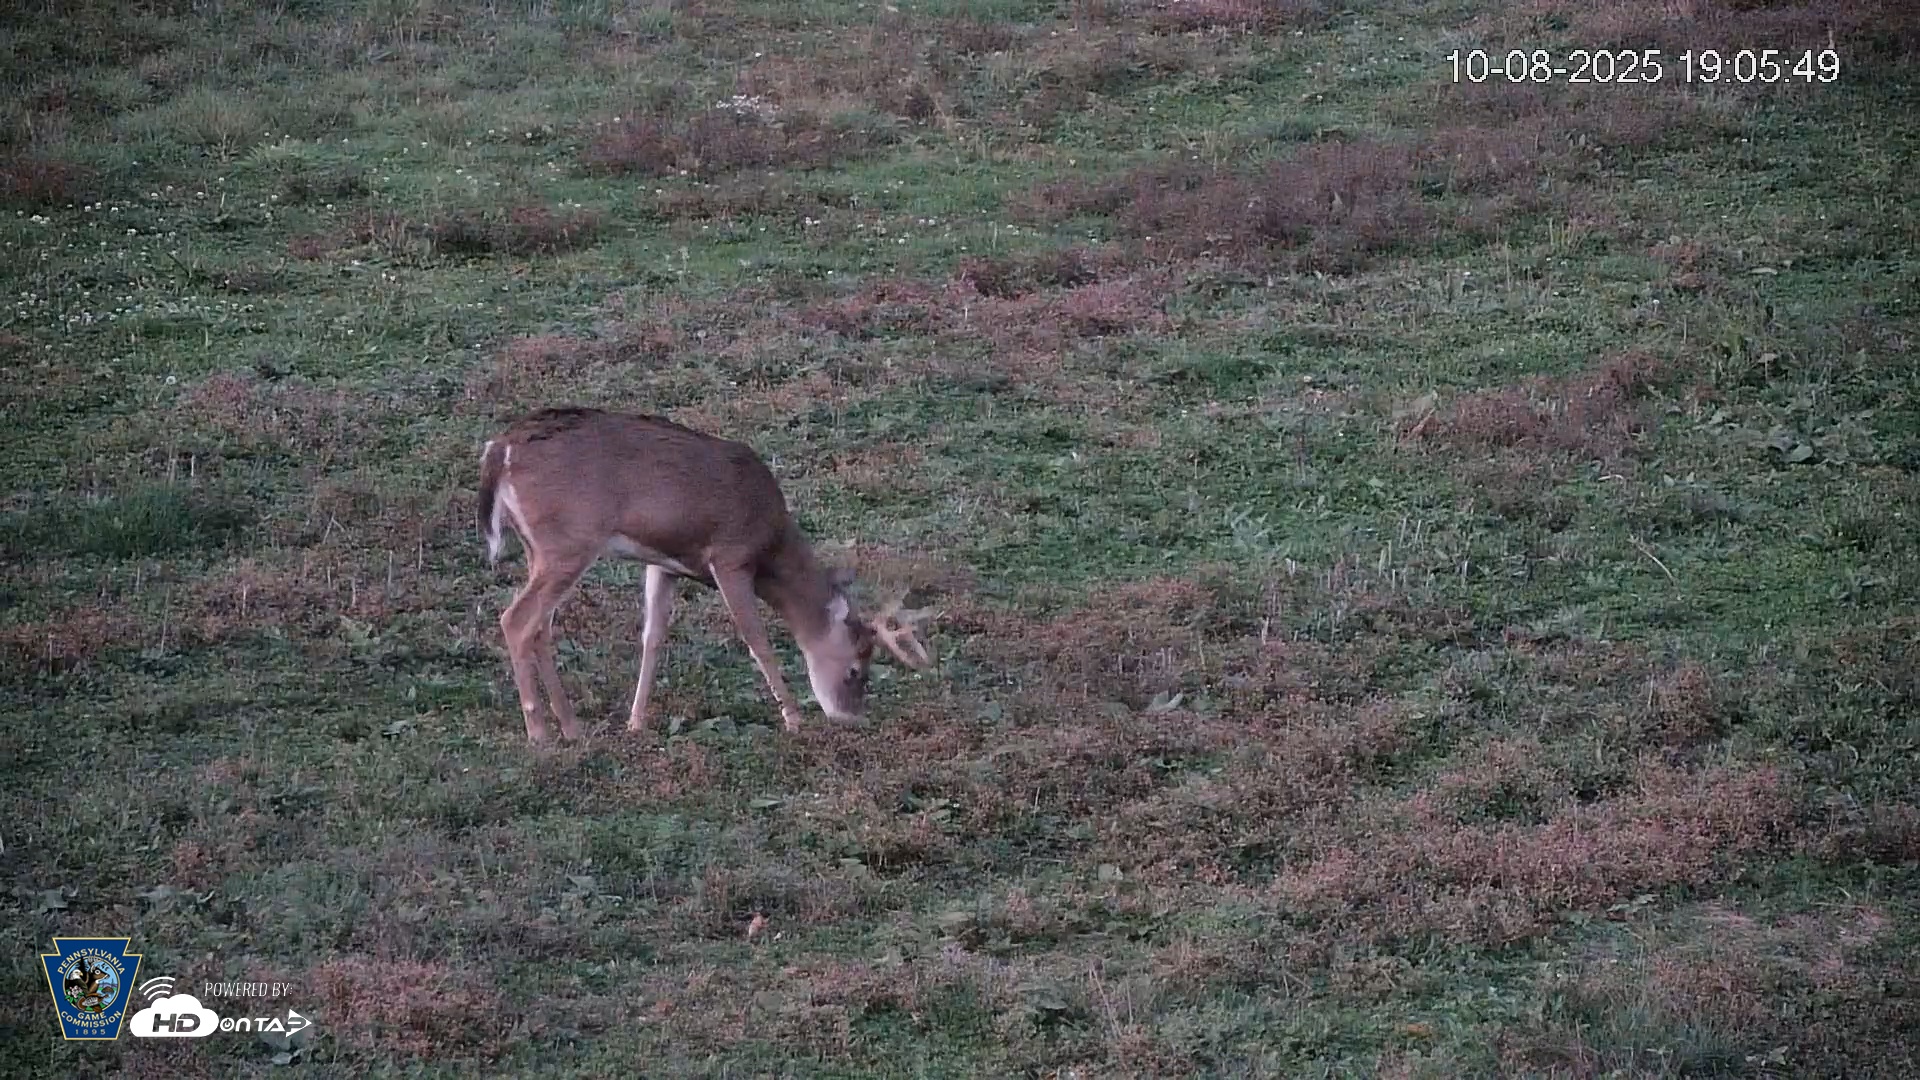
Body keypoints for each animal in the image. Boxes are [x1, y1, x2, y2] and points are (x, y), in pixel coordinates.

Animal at [475, 406, 935, 744]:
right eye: (857, 670)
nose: (850, 717)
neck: (771, 540)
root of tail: (500, 449)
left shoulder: (663, 563)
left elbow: (653, 638)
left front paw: (636, 721)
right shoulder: (730, 555)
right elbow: (757, 639)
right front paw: (794, 718)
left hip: (539, 549)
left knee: (541, 626)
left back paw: (572, 727)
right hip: (568, 542)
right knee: (517, 619)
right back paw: (539, 735)